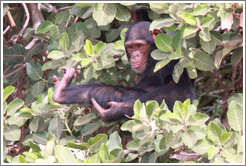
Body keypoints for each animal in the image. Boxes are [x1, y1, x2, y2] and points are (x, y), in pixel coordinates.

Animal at [52, 21, 196, 122]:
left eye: (139, 45)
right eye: (130, 47)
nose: (135, 55)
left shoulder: (170, 59)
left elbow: (179, 91)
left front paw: (114, 111)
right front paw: (100, 92)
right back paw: (62, 92)